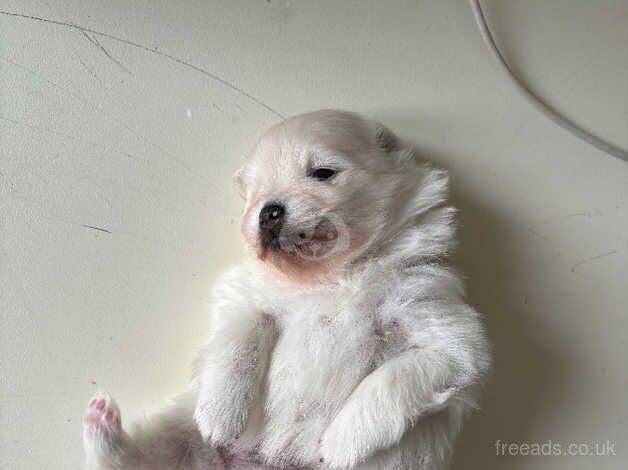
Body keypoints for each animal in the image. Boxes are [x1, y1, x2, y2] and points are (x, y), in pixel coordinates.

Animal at [83, 111, 494, 470]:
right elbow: (238, 347)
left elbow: (390, 380)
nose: (268, 211)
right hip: (179, 426)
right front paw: (221, 416)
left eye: (323, 172)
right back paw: (102, 424)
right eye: (255, 193)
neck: (331, 276)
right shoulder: (245, 297)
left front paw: (340, 444)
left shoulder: (445, 333)